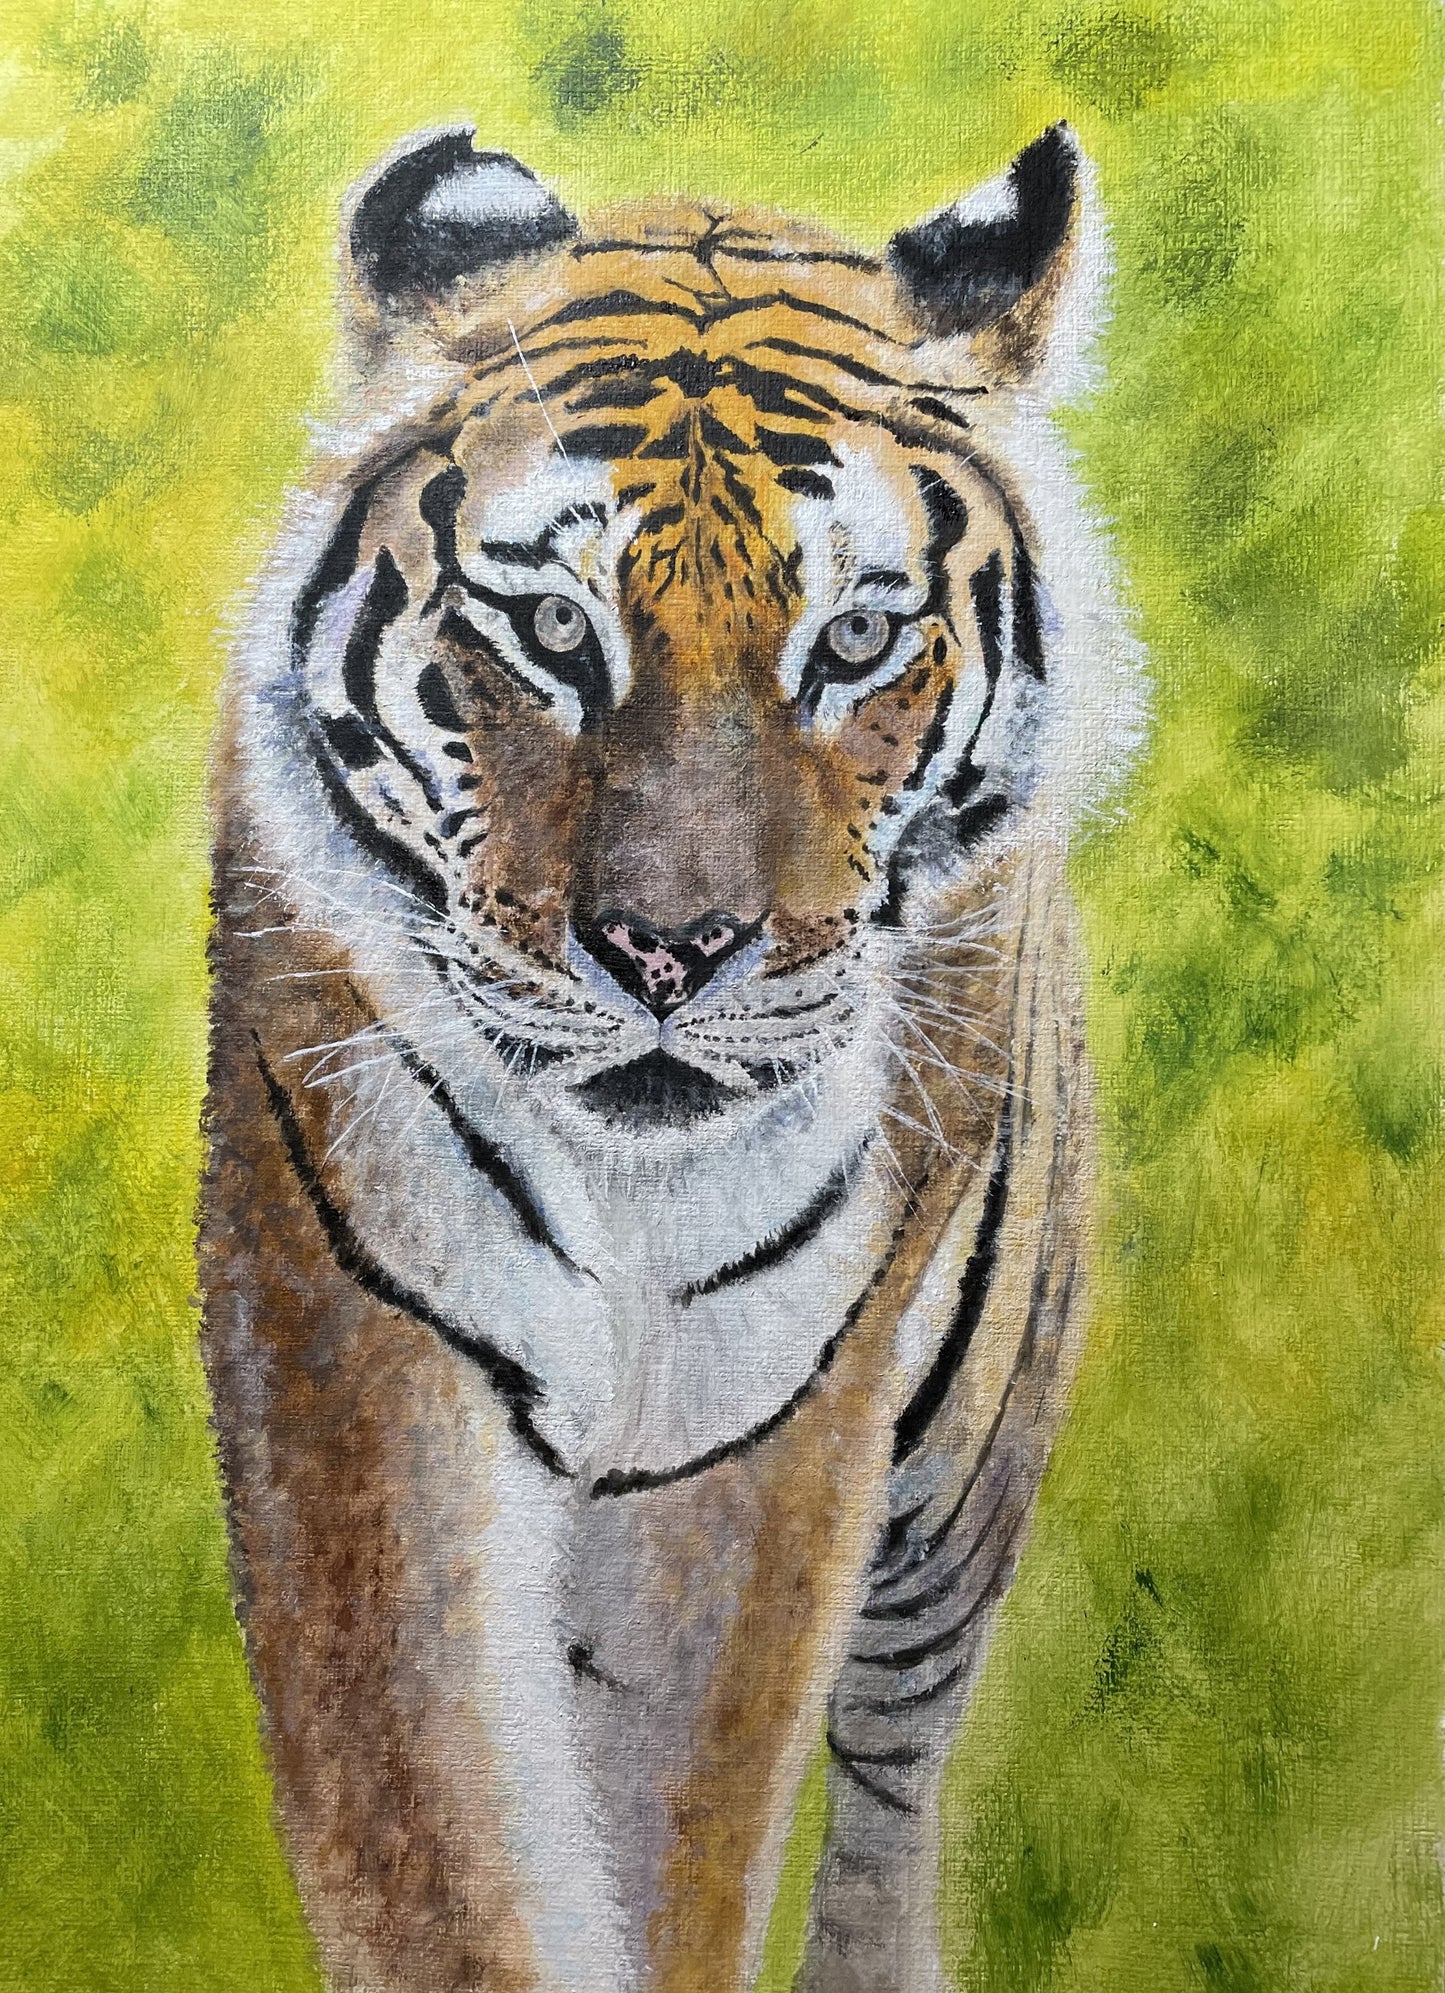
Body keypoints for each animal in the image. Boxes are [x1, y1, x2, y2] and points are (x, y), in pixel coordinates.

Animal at [199, 118, 1141, 1993]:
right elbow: (442, 1834)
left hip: (969, 1458)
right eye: (557, 634)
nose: (666, 950)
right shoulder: (356, 1353)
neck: (625, 1191)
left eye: (854, 640)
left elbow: (685, 1822)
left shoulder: (767, 1422)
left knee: (894, 1763)